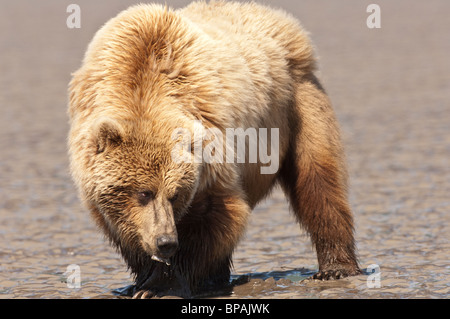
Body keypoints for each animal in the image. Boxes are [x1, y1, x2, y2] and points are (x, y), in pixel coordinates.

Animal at [67, 1, 362, 298]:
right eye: (144, 192)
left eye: (175, 194)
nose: (166, 242)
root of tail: (281, 20)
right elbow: (127, 229)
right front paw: (140, 281)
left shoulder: (210, 148)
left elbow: (217, 214)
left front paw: (162, 285)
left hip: (297, 105)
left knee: (318, 182)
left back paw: (335, 268)